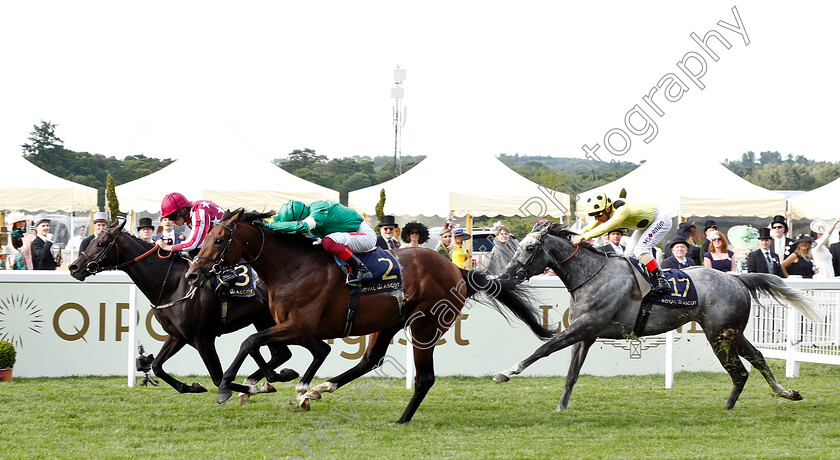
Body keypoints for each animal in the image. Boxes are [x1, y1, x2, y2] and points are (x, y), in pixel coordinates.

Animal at [69, 219, 332, 398]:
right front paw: (190, 386)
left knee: (302, 350)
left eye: (101, 243)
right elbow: (156, 366)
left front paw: (250, 389)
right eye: (92, 240)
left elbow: (218, 378)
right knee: (284, 353)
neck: (172, 283)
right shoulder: (178, 336)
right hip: (269, 321)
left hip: (288, 322)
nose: (74, 267)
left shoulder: (202, 338)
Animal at [183, 208, 552, 424]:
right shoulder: (301, 329)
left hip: (425, 325)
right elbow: (304, 351)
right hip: (387, 323)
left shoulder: (298, 326)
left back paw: (402, 419)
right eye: (208, 236)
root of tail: (457, 270)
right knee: (369, 360)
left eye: (219, 239)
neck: (292, 267)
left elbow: (250, 341)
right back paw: (322, 388)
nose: (192, 273)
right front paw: (286, 387)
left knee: (425, 377)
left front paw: (227, 386)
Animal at [496, 221, 816, 412]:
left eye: (528, 247)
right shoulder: (586, 333)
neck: (591, 274)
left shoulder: (585, 326)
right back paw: (786, 393)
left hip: (719, 334)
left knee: (740, 371)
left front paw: (507, 372)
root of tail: (738, 279)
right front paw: (561, 406)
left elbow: (545, 348)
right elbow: (572, 373)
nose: (506, 276)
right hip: (732, 332)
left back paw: (728, 409)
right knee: (757, 359)